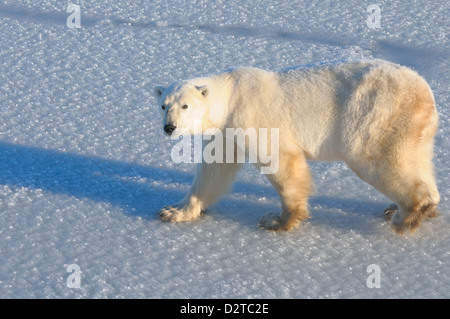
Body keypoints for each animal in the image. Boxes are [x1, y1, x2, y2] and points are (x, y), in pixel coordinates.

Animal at [154, 60, 440, 235]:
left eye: (185, 106)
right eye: (164, 105)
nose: (169, 128)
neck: (230, 96)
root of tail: (423, 90)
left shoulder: (254, 118)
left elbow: (281, 162)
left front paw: (277, 220)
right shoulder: (226, 132)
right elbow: (213, 170)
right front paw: (174, 211)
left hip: (374, 115)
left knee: (374, 159)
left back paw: (406, 215)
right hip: (412, 126)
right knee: (417, 159)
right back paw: (405, 206)